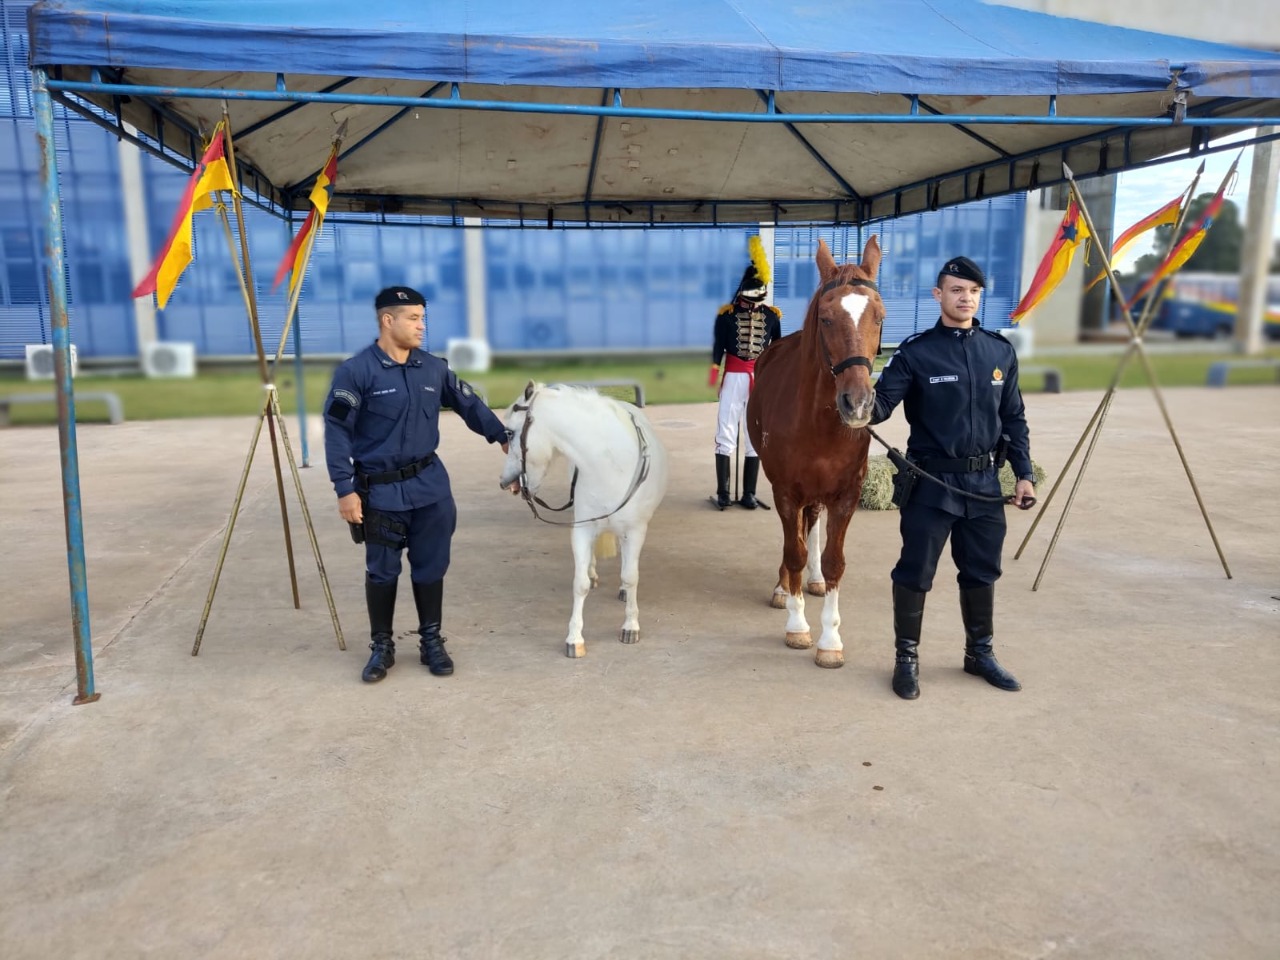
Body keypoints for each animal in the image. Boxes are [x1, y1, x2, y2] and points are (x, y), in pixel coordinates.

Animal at [496, 384, 670, 660]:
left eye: (510, 433)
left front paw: (630, 626)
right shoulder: (583, 529)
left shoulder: (635, 531)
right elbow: (580, 584)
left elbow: (631, 576)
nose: (506, 482)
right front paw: (574, 638)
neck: (610, 463)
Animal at [747, 236, 885, 670]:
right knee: (796, 537)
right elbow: (794, 551)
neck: (820, 423)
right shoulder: (786, 491)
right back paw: (784, 587)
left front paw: (831, 640)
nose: (858, 403)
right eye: (825, 318)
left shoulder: (846, 495)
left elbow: (833, 560)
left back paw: (814, 581)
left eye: (879, 316)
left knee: (812, 527)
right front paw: (797, 625)